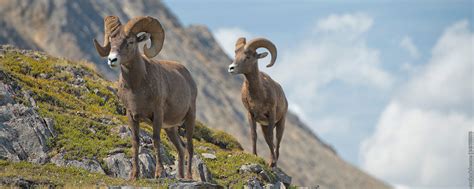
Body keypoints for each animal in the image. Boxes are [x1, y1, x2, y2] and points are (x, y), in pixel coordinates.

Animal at [92, 15, 196, 179]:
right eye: (112, 40)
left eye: (130, 42)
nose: (112, 60)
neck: (137, 86)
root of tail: (188, 76)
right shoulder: (131, 116)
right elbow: (135, 142)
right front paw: (134, 175)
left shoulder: (157, 115)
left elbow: (156, 140)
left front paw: (159, 173)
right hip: (171, 128)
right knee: (181, 148)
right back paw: (180, 177)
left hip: (190, 118)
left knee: (190, 147)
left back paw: (189, 177)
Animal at [228, 37, 286, 167]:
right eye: (236, 54)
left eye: (248, 57)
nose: (231, 68)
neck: (259, 95)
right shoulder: (251, 115)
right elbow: (254, 135)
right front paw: (254, 155)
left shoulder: (271, 114)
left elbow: (271, 137)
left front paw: (272, 162)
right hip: (264, 126)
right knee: (269, 141)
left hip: (281, 123)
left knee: (277, 141)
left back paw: (275, 161)